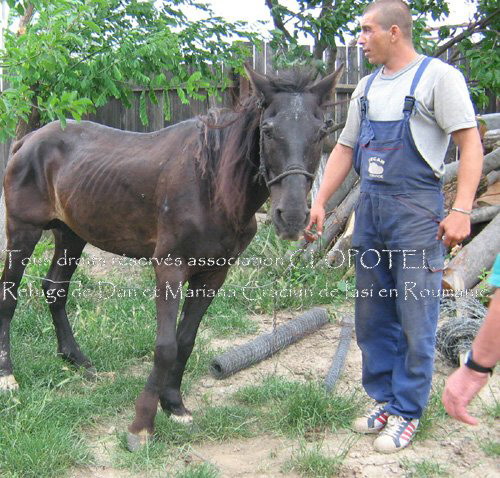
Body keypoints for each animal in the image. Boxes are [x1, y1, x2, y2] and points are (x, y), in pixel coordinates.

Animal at [0, 64, 344, 448]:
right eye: (268, 130)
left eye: (321, 131)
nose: (293, 217)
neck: (211, 186)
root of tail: (28, 141)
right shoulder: (169, 268)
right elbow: (165, 346)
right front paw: (141, 426)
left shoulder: (213, 274)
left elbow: (185, 341)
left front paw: (174, 405)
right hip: (23, 232)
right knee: (9, 296)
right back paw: (8, 376)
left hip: (71, 235)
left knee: (55, 289)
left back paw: (77, 359)